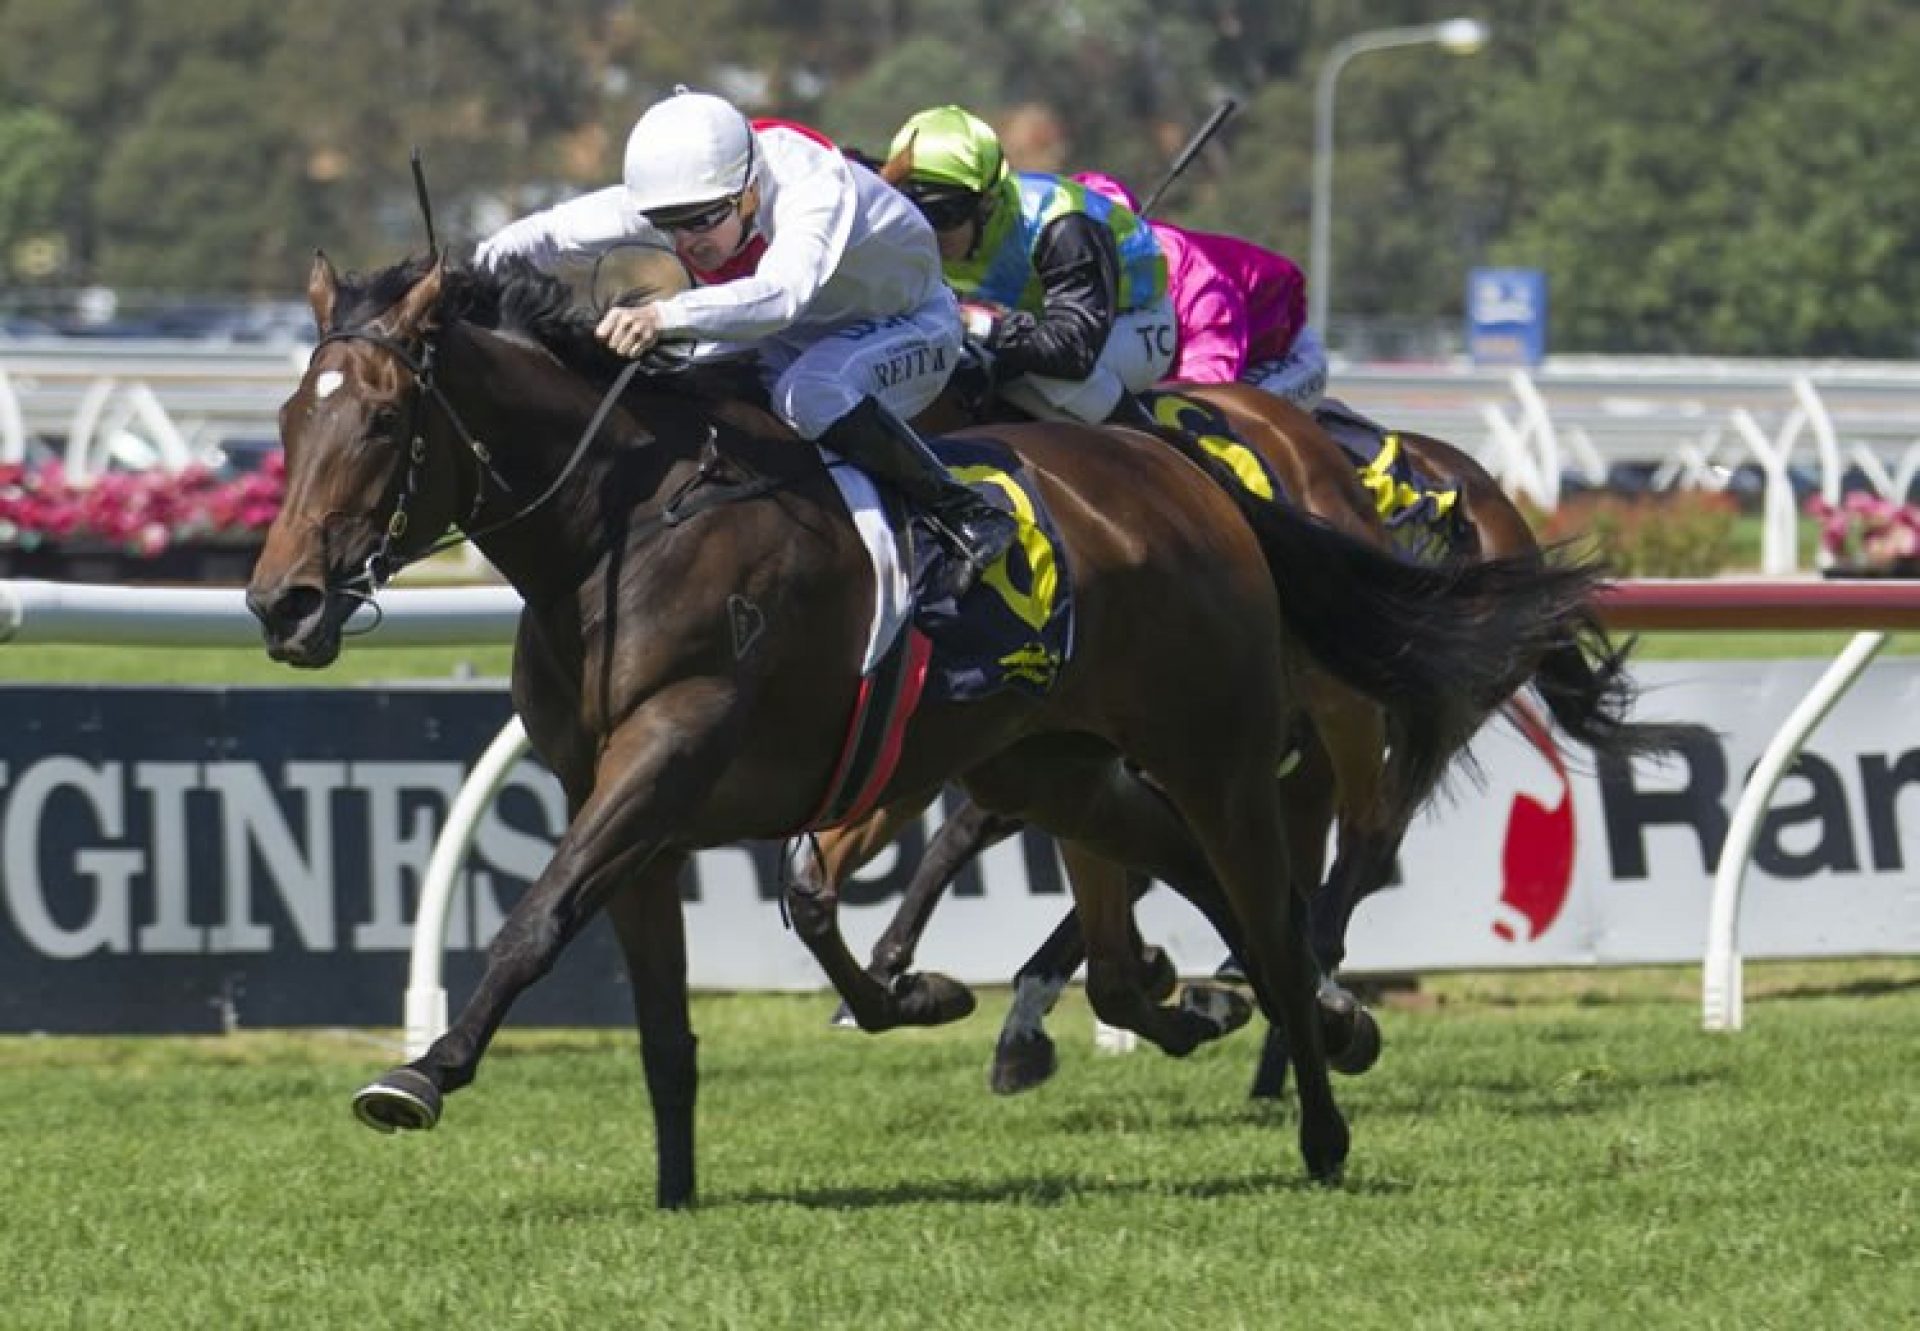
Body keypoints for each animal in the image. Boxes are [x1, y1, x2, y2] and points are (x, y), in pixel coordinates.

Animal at [255, 251, 1605, 1206]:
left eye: (384, 423)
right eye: (284, 424)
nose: (284, 601)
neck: (620, 532)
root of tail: (1195, 479)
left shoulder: (672, 750)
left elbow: (539, 917)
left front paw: (419, 1072)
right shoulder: (634, 790)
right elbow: (668, 1011)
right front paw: (682, 1183)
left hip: (1219, 744)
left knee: (1281, 901)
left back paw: (1317, 1110)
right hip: (1060, 763)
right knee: (1177, 900)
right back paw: (1275, 1012)